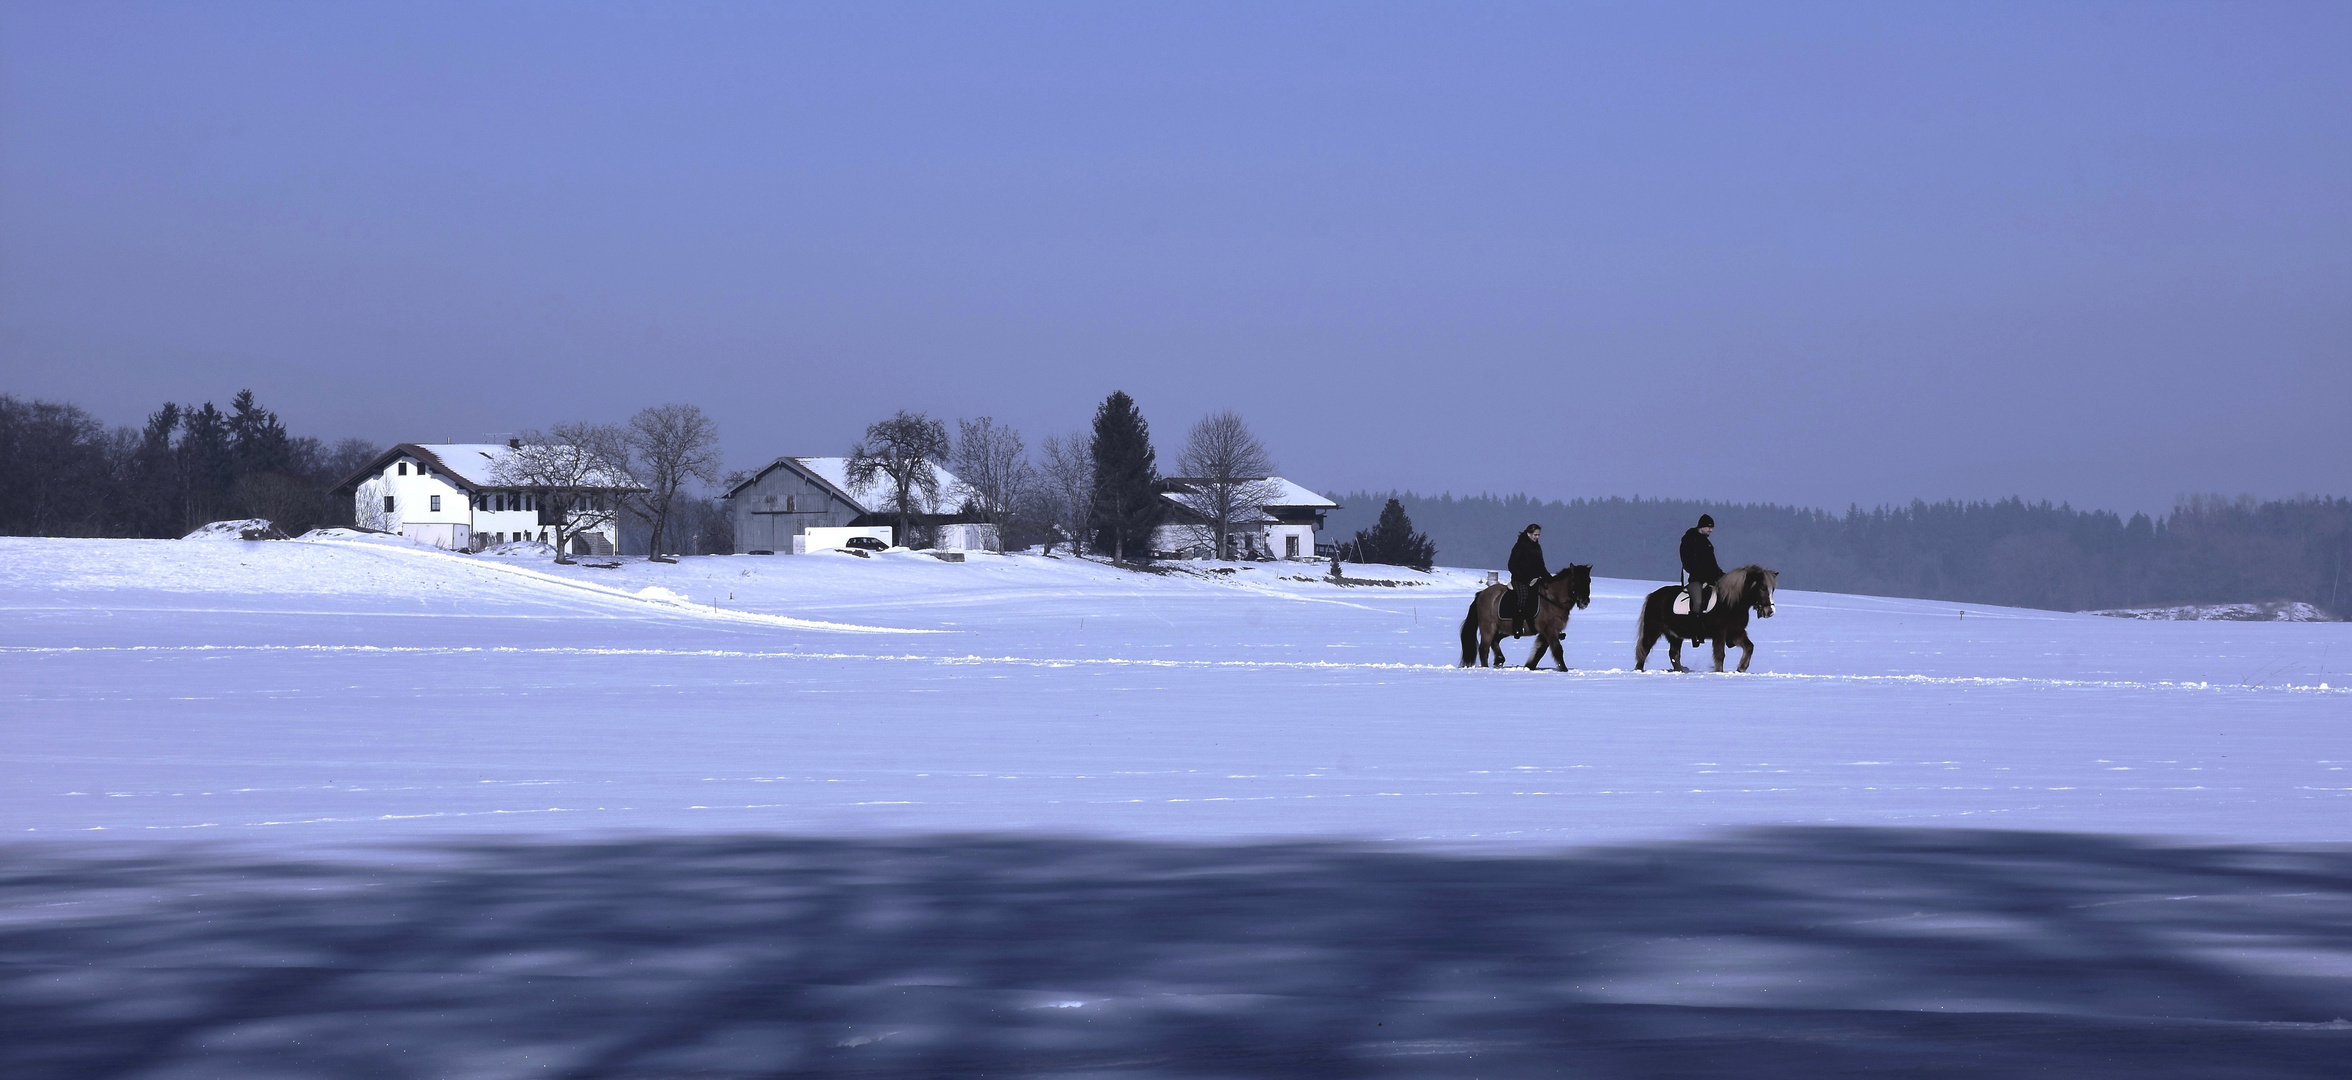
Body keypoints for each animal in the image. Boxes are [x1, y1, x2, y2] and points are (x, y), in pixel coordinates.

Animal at [1458, 567, 1589, 668]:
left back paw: (1499, 659)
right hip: (1488, 627)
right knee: (1483, 649)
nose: (1585, 601)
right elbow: (1557, 650)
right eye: (1575, 580)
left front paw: (1529, 666)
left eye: (1588, 580)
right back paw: (1487, 667)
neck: (1553, 599)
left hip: (1505, 628)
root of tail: (1481, 594)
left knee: (1495, 640)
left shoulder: (1548, 632)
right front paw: (1564, 670)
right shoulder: (1549, 630)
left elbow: (1540, 651)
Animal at [1636, 571, 1778, 672]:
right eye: (1762, 588)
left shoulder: (1736, 632)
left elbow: (1749, 647)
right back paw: (1639, 669)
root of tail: (1653, 595)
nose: (1770, 611)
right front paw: (1719, 672)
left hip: (1675, 635)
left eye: (1773, 589)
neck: (1730, 603)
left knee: (1674, 654)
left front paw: (1741, 668)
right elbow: (1720, 655)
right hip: (1652, 629)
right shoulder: (1720, 633)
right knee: (1644, 648)